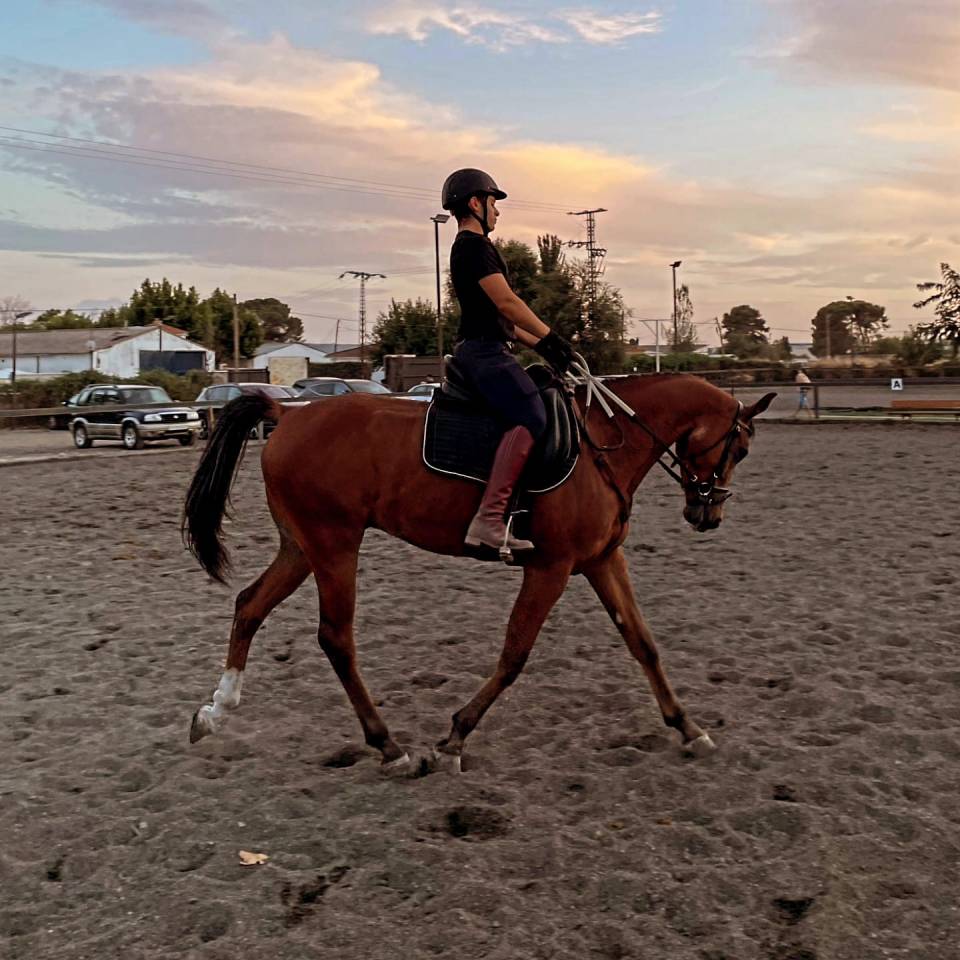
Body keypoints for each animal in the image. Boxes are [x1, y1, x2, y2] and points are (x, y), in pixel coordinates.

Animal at [183, 372, 775, 771]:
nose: (708, 515)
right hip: (334, 544)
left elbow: (643, 643)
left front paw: (688, 727)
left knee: (250, 605)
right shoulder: (551, 568)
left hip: (301, 547)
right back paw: (387, 744)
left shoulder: (602, 560)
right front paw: (454, 738)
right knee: (336, 638)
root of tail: (290, 413)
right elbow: (514, 656)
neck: (605, 441)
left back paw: (216, 711)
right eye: (741, 449)